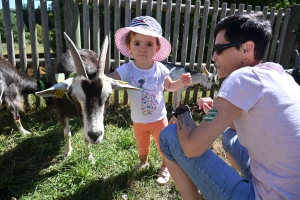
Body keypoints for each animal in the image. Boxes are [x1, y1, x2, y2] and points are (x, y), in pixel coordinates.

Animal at [34, 33, 140, 161]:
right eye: (74, 96)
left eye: (108, 95)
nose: (95, 135)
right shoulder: (61, 112)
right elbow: (66, 133)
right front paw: (67, 153)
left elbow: (85, 136)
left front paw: (89, 156)